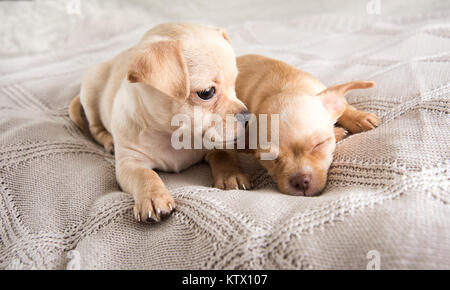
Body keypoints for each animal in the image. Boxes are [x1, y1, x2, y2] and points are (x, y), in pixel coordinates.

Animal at [68, 23, 248, 222]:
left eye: (235, 85)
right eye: (207, 93)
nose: (247, 116)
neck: (172, 136)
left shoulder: (219, 142)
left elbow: (224, 155)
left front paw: (232, 175)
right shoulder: (129, 163)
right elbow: (145, 175)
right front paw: (153, 197)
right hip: (90, 91)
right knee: (95, 127)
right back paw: (109, 141)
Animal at [207, 53, 380, 197]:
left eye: (319, 144)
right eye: (268, 158)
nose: (300, 180)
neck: (286, 88)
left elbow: (342, 105)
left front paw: (360, 117)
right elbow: (222, 152)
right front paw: (230, 174)